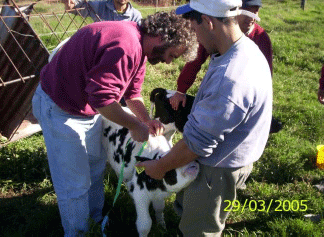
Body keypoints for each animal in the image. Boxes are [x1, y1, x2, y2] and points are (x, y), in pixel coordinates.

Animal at [101, 108, 199, 237]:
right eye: (170, 166)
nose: (193, 162)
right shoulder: (140, 194)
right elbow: (145, 224)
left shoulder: (159, 197)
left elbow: (159, 208)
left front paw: (162, 227)